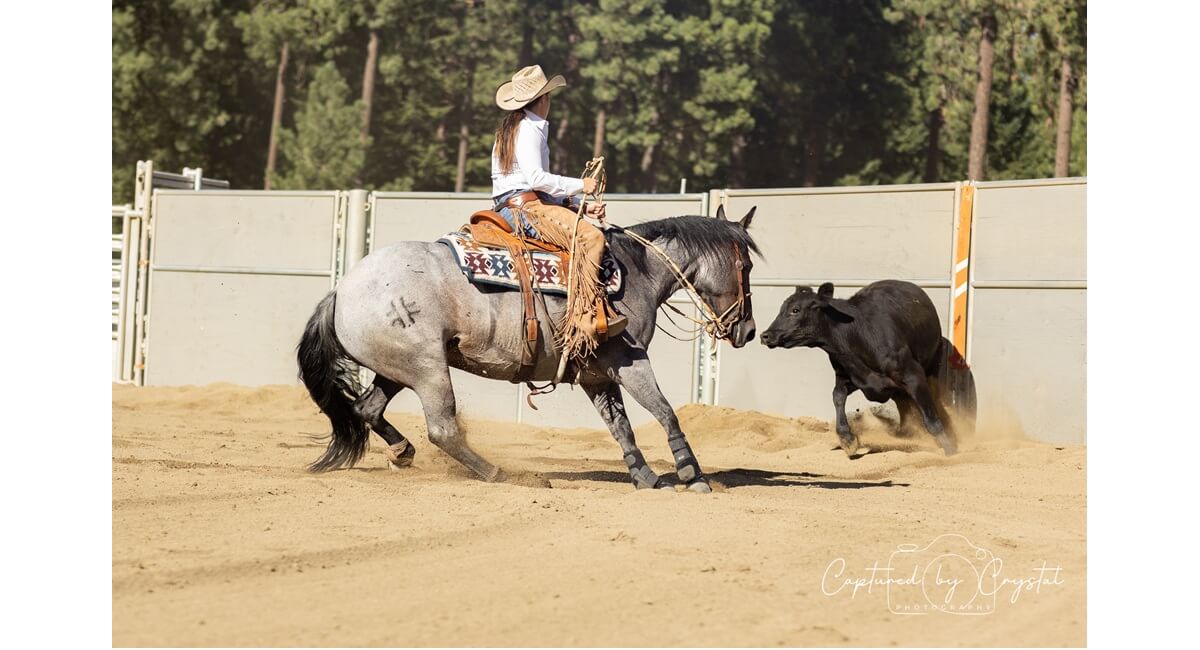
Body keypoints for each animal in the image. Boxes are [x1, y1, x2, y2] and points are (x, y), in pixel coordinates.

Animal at [296, 205, 759, 492]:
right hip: (428, 370)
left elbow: (621, 426)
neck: (633, 271)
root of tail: (341, 291)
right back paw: (503, 474)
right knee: (443, 429)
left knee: (368, 408)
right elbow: (664, 412)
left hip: (396, 369)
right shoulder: (630, 361)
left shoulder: (595, 373)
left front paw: (644, 476)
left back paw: (403, 452)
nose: (749, 330)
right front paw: (693, 476)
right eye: (747, 266)